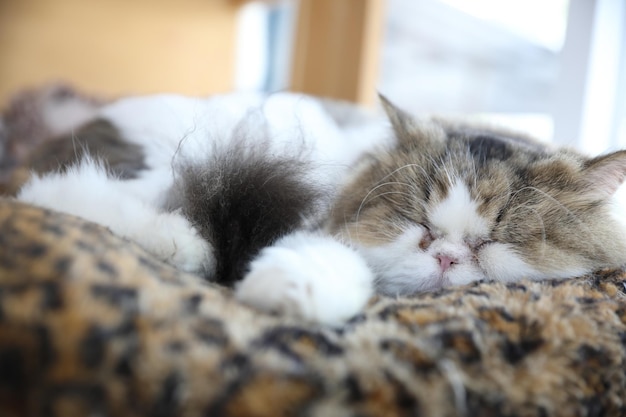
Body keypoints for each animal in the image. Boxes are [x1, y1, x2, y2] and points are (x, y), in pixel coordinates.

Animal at [13, 92, 624, 324]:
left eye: (494, 241)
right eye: (417, 224)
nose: (447, 257)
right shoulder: (318, 224)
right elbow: (325, 261)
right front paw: (285, 295)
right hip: (190, 156)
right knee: (51, 193)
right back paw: (180, 243)